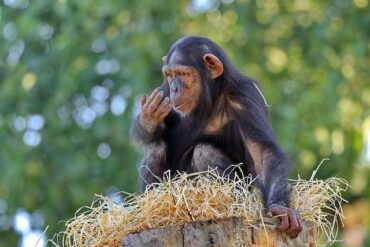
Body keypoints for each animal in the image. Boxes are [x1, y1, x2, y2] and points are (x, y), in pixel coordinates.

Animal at [133, 35, 304, 237]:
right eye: (169, 75)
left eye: (183, 73)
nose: (175, 88)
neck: (211, 97)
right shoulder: (163, 92)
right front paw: (149, 118)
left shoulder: (246, 95)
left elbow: (261, 152)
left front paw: (280, 208)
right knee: (155, 147)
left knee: (205, 151)